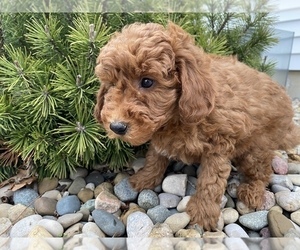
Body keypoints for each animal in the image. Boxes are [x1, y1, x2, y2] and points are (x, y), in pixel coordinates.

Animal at [94, 22, 300, 230]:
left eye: (147, 81)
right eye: (111, 84)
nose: (116, 127)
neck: (175, 117)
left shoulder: (219, 146)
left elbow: (211, 181)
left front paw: (203, 212)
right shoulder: (161, 137)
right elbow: (155, 157)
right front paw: (145, 178)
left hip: (257, 147)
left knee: (262, 171)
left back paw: (252, 191)